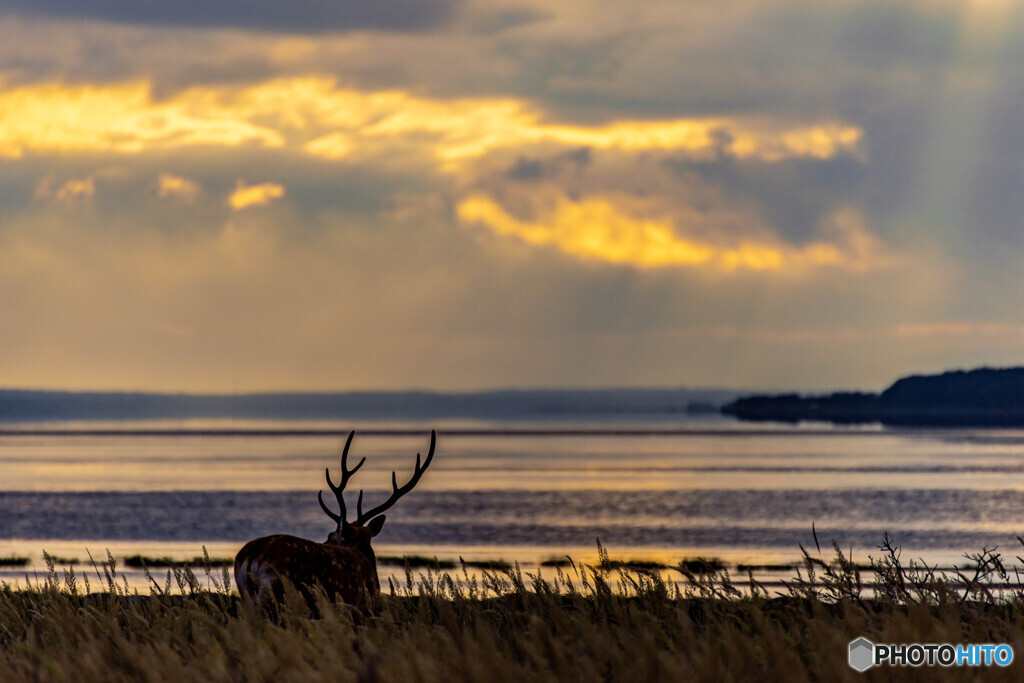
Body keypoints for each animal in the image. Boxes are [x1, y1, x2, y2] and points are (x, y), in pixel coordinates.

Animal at [234, 428, 434, 614]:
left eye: (331, 537)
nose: (325, 541)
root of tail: (250, 557)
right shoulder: (357, 604)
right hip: (277, 590)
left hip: (247, 594)